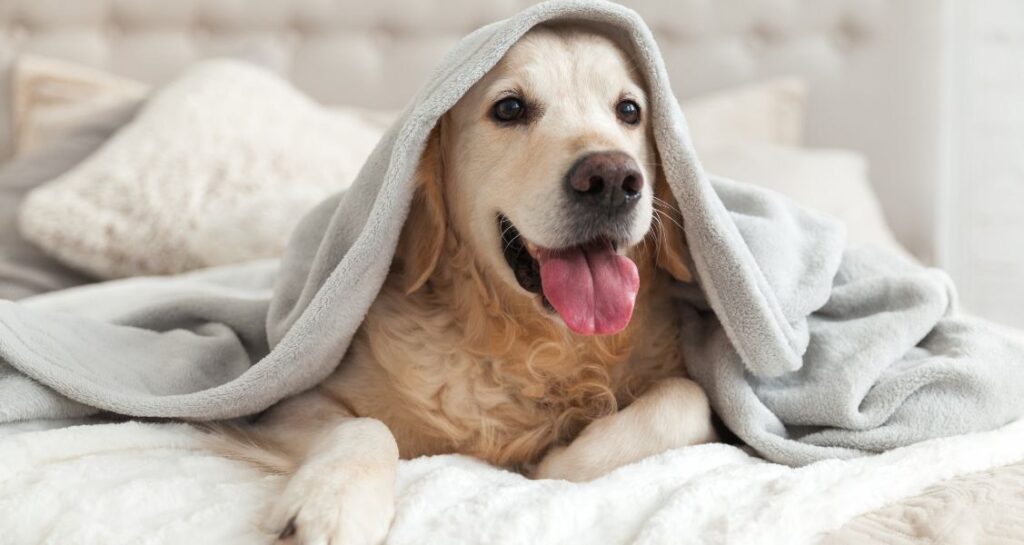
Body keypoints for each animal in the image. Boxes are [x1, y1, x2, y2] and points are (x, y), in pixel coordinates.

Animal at [211, 25, 716, 545]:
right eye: (509, 108)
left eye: (630, 111)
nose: (613, 179)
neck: (533, 345)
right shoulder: (284, 406)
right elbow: (366, 425)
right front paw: (331, 503)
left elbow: (688, 399)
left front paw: (560, 458)